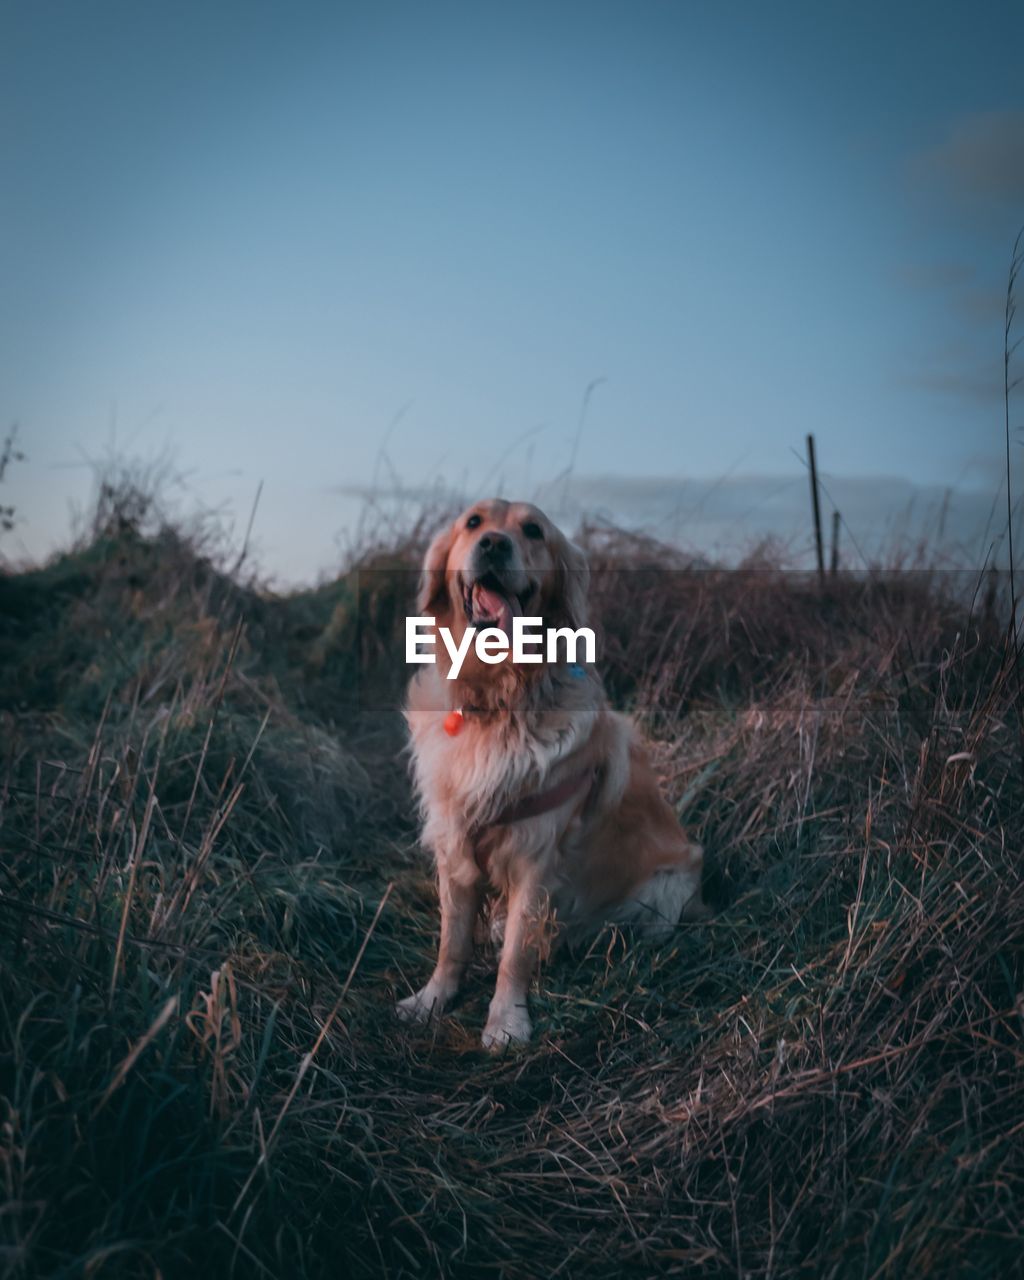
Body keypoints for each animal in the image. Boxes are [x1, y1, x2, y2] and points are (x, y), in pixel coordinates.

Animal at [396, 494, 706, 1044]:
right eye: (473, 522)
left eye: (534, 531)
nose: (493, 544)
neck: (498, 703)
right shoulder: (454, 843)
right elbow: (452, 941)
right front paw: (432, 1000)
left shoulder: (536, 857)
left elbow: (516, 954)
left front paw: (505, 1021)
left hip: (668, 885)